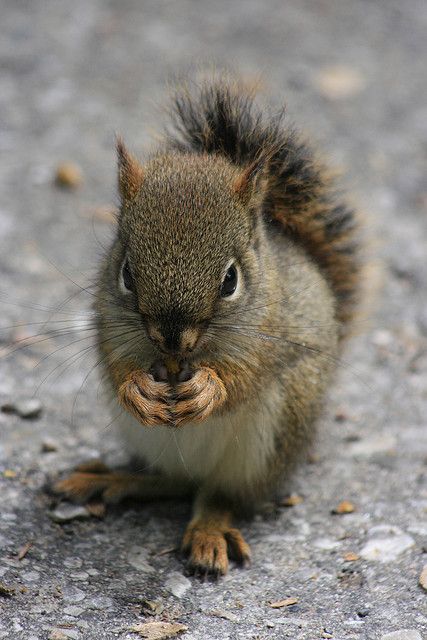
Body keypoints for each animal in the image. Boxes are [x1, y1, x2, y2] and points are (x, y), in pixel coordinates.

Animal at [53, 77, 362, 576]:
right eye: (126, 273)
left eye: (230, 280)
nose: (171, 340)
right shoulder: (110, 326)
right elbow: (118, 366)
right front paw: (136, 389)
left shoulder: (272, 335)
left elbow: (244, 379)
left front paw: (209, 390)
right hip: (150, 440)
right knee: (174, 482)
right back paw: (113, 479)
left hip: (271, 439)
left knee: (218, 493)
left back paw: (208, 530)